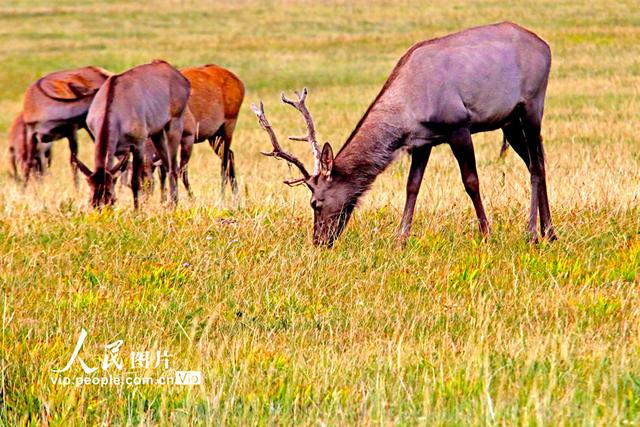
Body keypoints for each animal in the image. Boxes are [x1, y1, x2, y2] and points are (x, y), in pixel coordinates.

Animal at [71, 59, 190, 209]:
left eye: (111, 198)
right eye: (92, 202)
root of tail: (183, 79)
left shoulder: (139, 143)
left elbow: (135, 181)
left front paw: (137, 210)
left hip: (175, 121)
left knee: (174, 167)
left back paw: (173, 204)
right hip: (157, 132)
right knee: (167, 165)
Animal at [252, 21, 556, 246]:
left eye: (315, 203)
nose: (318, 241)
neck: (408, 112)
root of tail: (546, 45)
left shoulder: (458, 125)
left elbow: (471, 181)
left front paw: (486, 234)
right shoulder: (423, 142)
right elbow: (412, 186)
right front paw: (401, 239)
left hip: (532, 105)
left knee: (536, 167)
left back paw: (532, 233)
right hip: (510, 121)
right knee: (538, 161)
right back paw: (549, 232)